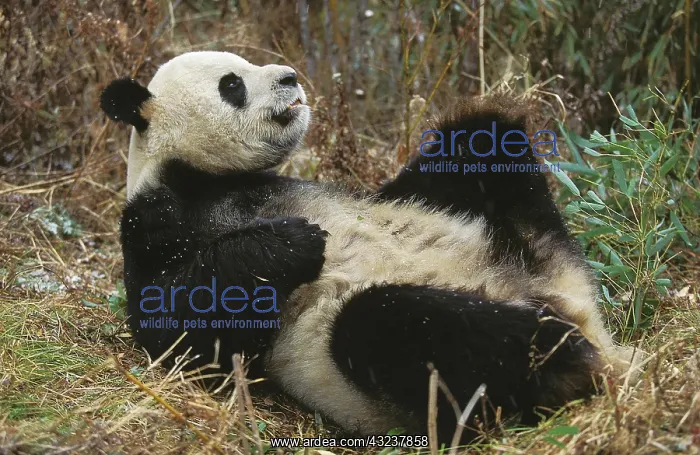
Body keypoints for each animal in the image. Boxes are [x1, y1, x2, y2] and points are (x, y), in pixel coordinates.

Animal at [100, 51, 636, 445]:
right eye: (232, 84)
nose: (290, 77)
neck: (206, 177)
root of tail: (569, 305)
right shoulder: (153, 224)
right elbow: (178, 326)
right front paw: (294, 242)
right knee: (385, 321)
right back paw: (568, 357)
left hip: (530, 251)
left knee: (481, 136)